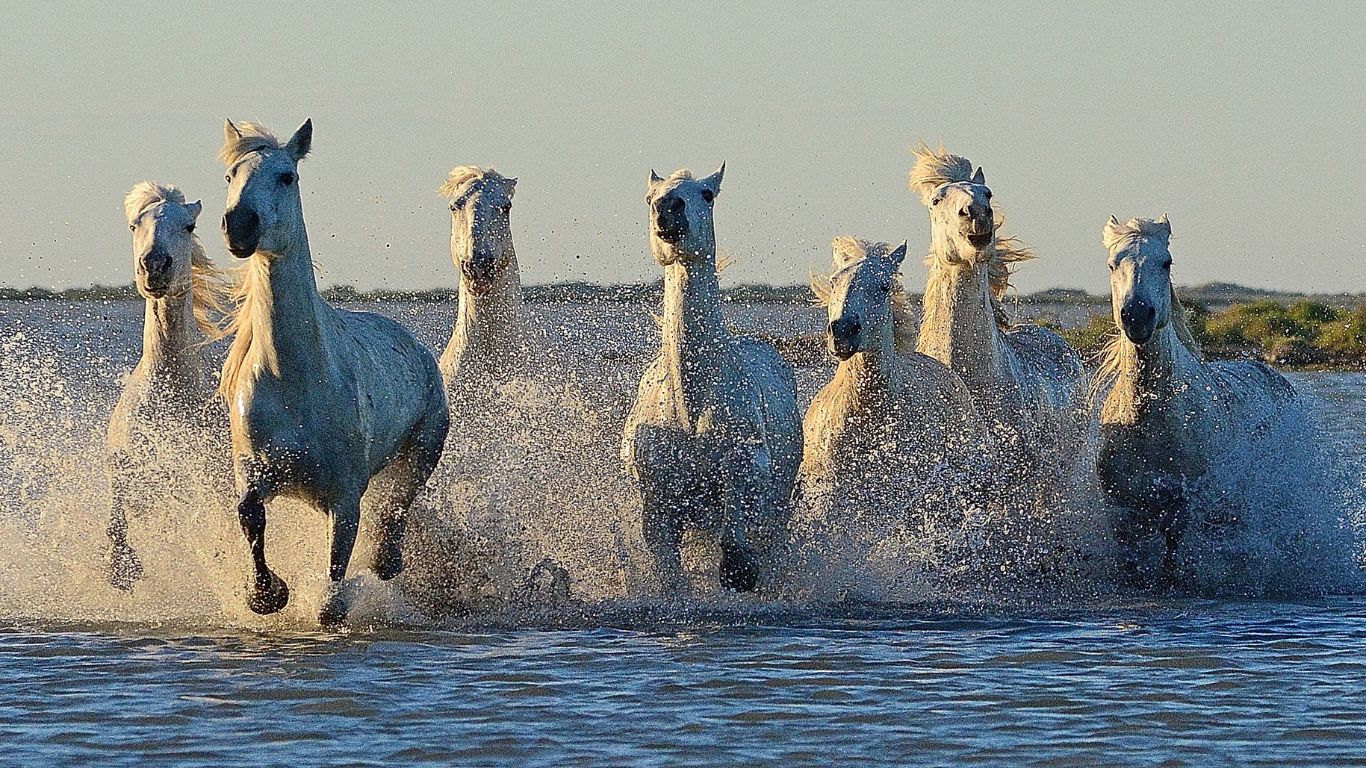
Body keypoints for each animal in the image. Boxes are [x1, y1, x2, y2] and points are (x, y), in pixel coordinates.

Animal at [106, 181, 233, 591]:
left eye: (189, 226)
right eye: (134, 225)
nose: (155, 265)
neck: (171, 395)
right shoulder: (126, 470)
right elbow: (116, 524)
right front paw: (121, 571)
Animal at [219, 118, 449, 624]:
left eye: (287, 176)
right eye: (230, 175)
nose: (240, 225)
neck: (293, 380)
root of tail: (416, 346)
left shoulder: (343, 499)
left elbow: (333, 592)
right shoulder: (255, 472)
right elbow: (249, 516)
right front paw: (266, 594)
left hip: (426, 445)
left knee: (398, 505)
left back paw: (386, 560)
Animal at [622, 164, 802, 594]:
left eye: (707, 194)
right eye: (649, 197)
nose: (668, 209)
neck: (691, 405)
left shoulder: (746, 468)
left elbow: (736, 543)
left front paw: (741, 572)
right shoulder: (658, 505)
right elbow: (669, 571)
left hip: (779, 508)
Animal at [1095, 215, 1299, 586]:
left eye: (1166, 262)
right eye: (1113, 264)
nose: (1137, 316)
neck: (1150, 421)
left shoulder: (1179, 508)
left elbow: (1171, 564)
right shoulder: (1120, 513)